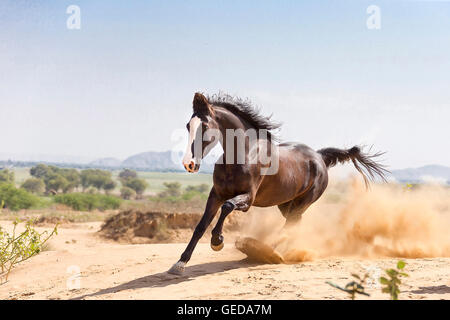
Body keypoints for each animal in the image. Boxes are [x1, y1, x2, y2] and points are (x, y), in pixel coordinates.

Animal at [169, 92, 386, 276]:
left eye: (205, 126)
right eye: (188, 125)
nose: (189, 164)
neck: (244, 154)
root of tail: (319, 157)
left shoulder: (247, 199)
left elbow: (228, 207)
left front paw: (217, 241)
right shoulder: (216, 194)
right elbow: (200, 226)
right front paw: (179, 264)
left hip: (303, 202)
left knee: (289, 226)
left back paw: (266, 252)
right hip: (286, 204)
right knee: (294, 225)